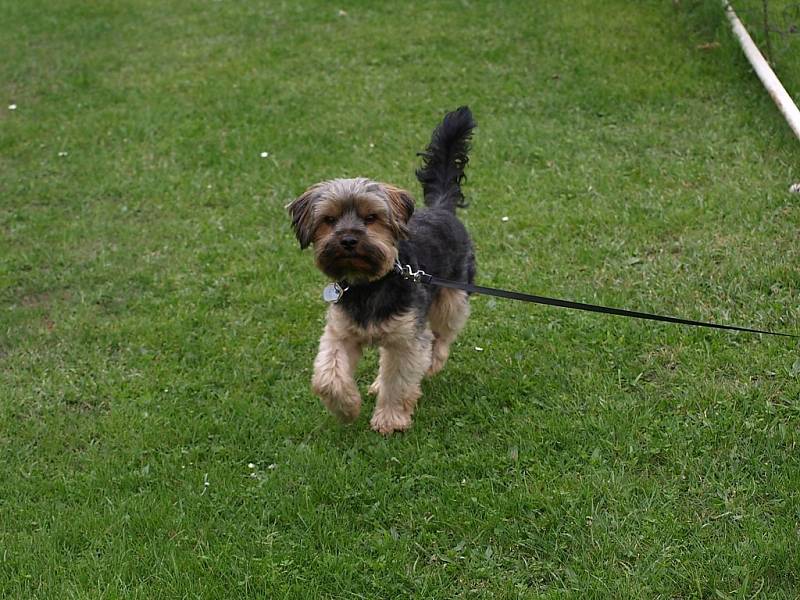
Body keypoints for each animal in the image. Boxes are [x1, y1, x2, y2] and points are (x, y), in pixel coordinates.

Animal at [286, 108, 476, 434]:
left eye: (371, 217)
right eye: (329, 220)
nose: (348, 240)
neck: (368, 284)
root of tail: (442, 208)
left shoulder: (407, 338)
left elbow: (398, 380)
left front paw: (390, 419)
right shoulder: (340, 333)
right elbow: (327, 374)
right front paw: (347, 408)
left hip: (452, 296)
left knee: (442, 335)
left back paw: (431, 363)